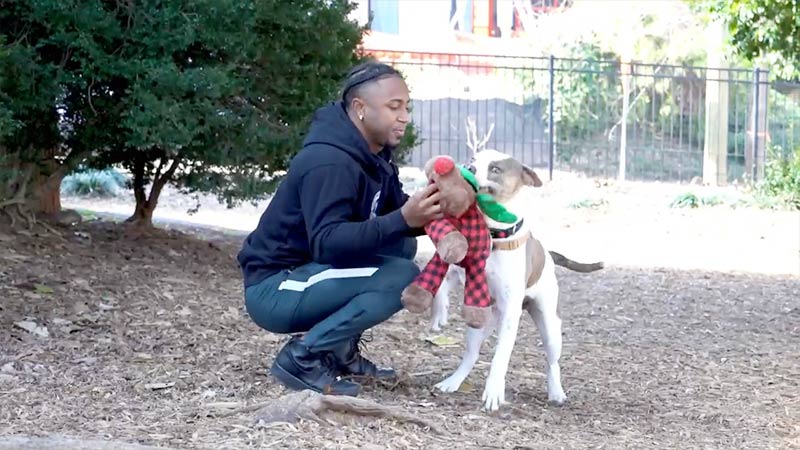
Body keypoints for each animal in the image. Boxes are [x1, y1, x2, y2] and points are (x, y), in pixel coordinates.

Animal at [424, 149, 600, 412]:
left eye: (496, 169)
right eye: (473, 160)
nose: (468, 168)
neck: (492, 235)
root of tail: (548, 254)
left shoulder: (509, 315)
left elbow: (501, 356)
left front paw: (494, 392)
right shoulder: (459, 272)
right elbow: (443, 283)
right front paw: (439, 311)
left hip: (549, 326)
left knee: (552, 362)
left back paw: (556, 391)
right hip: (482, 322)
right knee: (471, 353)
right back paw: (452, 382)